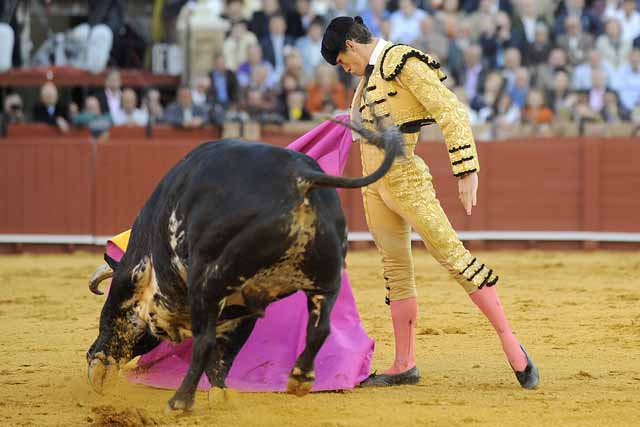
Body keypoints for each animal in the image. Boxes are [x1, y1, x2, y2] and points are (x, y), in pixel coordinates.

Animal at [87, 121, 402, 412]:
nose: (91, 354)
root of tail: (301, 178)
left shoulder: (133, 279)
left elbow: (113, 318)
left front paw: (98, 369)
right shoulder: (239, 312)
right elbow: (222, 357)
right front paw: (221, 395)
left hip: (212, 278)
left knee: (204, 342)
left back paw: (179, 401)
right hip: (326, 278)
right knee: (320, 328)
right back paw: (299, 379)